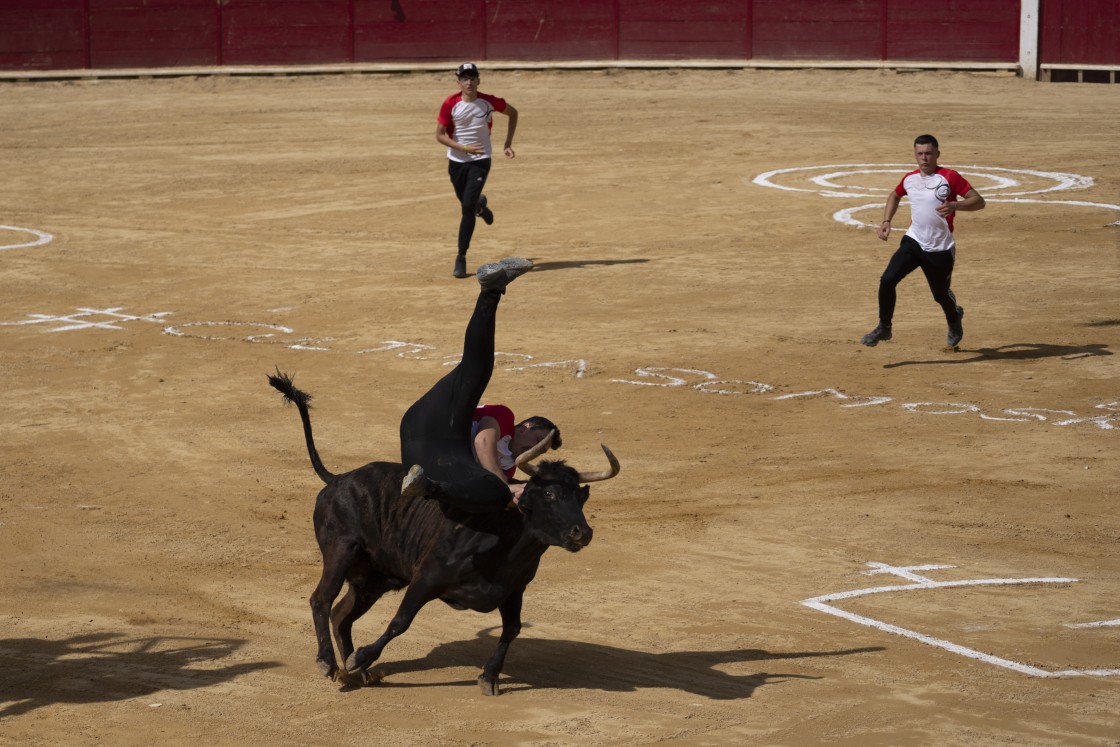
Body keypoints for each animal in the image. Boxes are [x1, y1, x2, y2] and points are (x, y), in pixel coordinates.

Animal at [271, 374, 622, 694]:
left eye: (579, 498)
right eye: (549, 494)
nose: (582, 532)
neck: (504, 536)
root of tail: (338, 478)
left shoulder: (514, 589)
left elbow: (512, 630)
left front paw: (489, 677)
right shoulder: (427, 577)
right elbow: (401, 621)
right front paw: (362, 657)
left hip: (373, 577)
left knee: (342, 614)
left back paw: (357, 674)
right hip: (340, 549)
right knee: (322, 599)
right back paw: (331, 663)